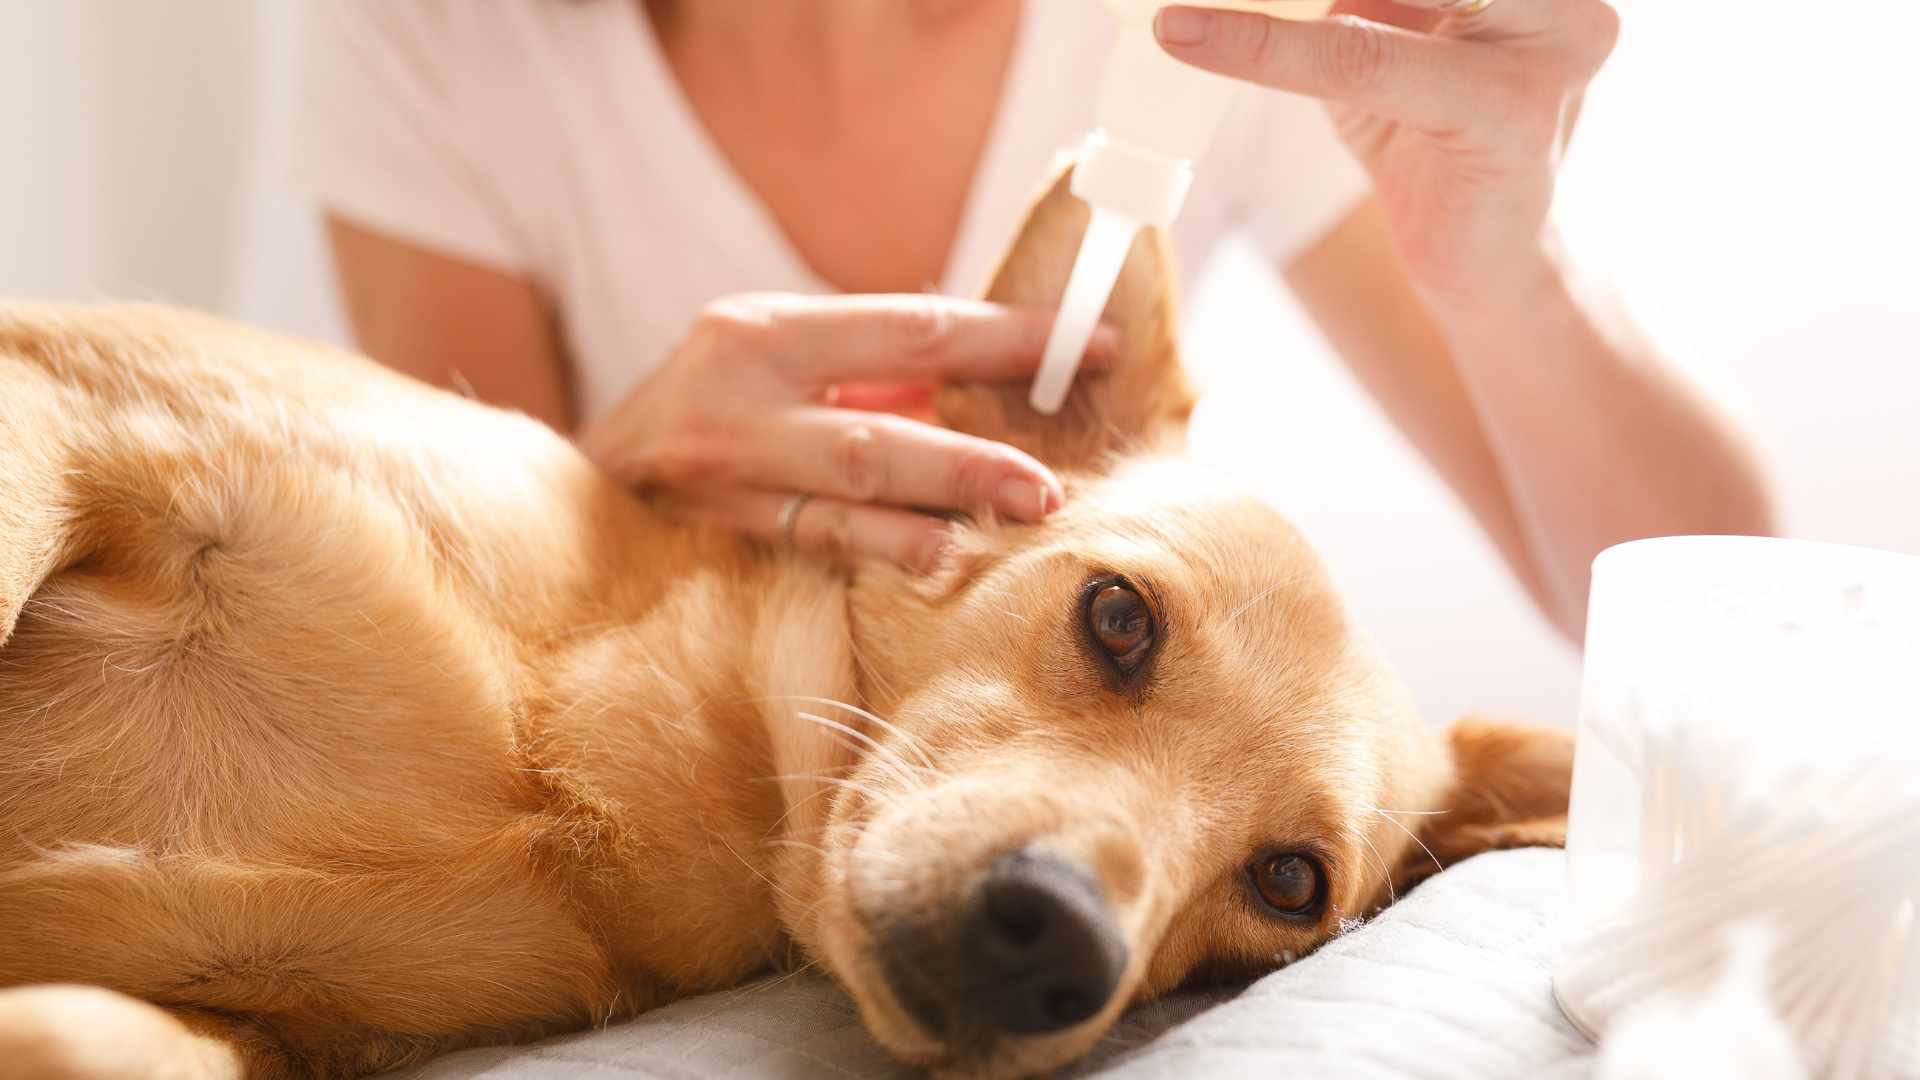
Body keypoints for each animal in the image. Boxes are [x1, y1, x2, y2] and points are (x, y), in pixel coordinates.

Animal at [0, 171, 1566, 1068]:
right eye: (1119, 618)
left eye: (1292, 885)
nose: (1060, 945)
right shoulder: (52, 407)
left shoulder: (272, 1029)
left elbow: (97, 1034)